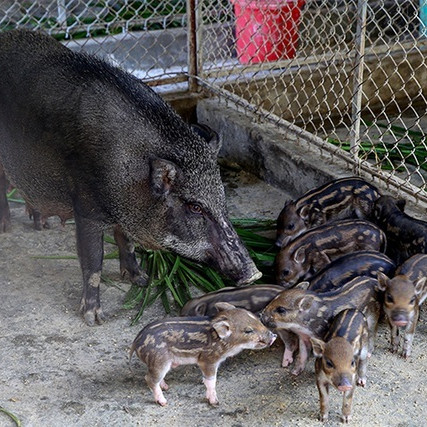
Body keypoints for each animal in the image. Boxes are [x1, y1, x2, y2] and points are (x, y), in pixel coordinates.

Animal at [0, 29, 260, 324]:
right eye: (195, 206)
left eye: (221, 198)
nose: (255, 273)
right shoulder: (86, 208)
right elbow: (94, 262)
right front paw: (94, 319)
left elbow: (127, 243)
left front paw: (142, 281)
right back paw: (6, 228)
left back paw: (40, 225)